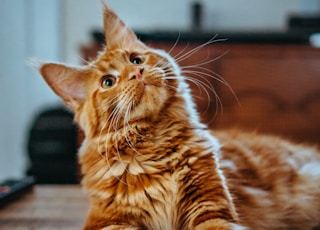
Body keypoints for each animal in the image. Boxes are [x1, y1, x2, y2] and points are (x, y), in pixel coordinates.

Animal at [38, 3, 320, 230]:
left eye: (136, 59)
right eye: (108, 82)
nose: (137, 73)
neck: (155, 147)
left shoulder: (210, 209)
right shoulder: (107, 221)